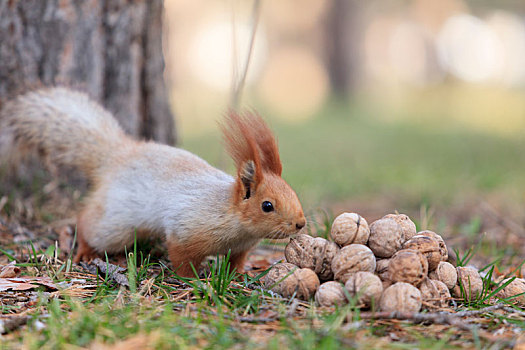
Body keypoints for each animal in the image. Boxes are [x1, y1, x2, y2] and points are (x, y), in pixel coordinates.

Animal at [0, 87, 304, 276]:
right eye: (267, 206)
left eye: (293, 193)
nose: (300, 223)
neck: (229, 214)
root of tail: (118, 155)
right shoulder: (186, 229)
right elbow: (181, 257)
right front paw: (192, 281)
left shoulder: (241, 248)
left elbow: (234, 263)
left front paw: (237, 278)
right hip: (116, 223)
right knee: (88, 223)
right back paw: (86, 249)